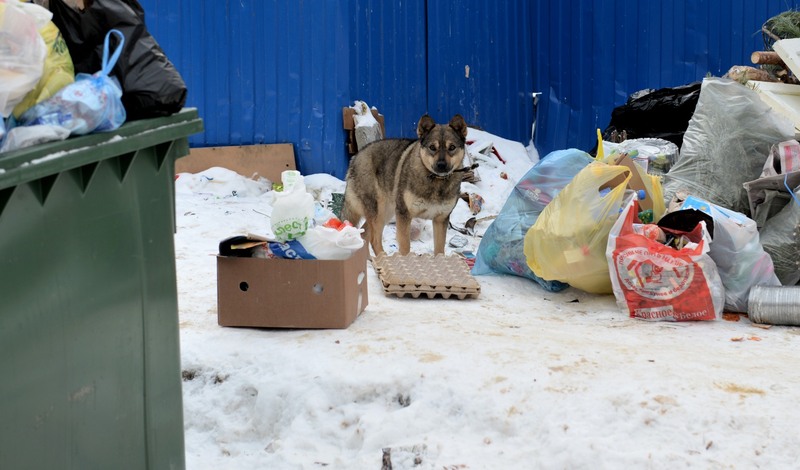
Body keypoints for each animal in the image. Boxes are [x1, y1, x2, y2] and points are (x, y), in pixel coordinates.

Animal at [340, 114, 466, 255]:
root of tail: (355, 157)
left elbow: (439, 250)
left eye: (452, 147)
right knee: (373, 239)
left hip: (386, 212)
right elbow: (405, 248)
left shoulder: (440, 219)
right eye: (432, 147)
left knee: (365, 234)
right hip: (378, 212)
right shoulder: (404, 214)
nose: (441, 165)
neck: (435, 181)